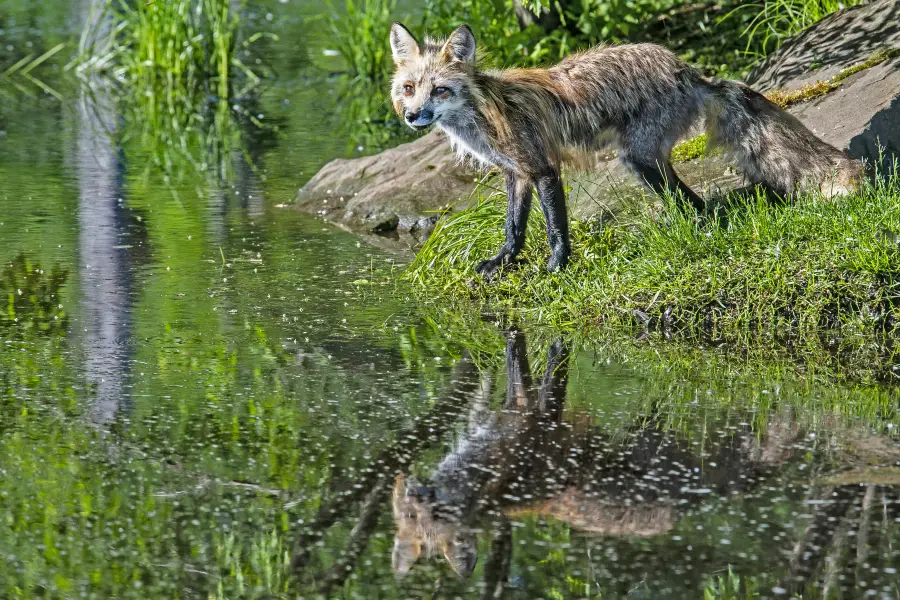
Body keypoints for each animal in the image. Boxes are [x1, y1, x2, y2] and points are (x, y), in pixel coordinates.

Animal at [386, 21, 864, 278]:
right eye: (409, 88)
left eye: (440, 90)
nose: (413, 116)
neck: (486, 113)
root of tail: (687, 69)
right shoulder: (515, 173)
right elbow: (513, 228)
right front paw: (502, 262)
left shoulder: (542, 168)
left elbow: (556, 228)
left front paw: (558, 266)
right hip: (645, 162)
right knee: (693, 202)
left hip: (638, 159)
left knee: (693, 201)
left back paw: (695, 233)